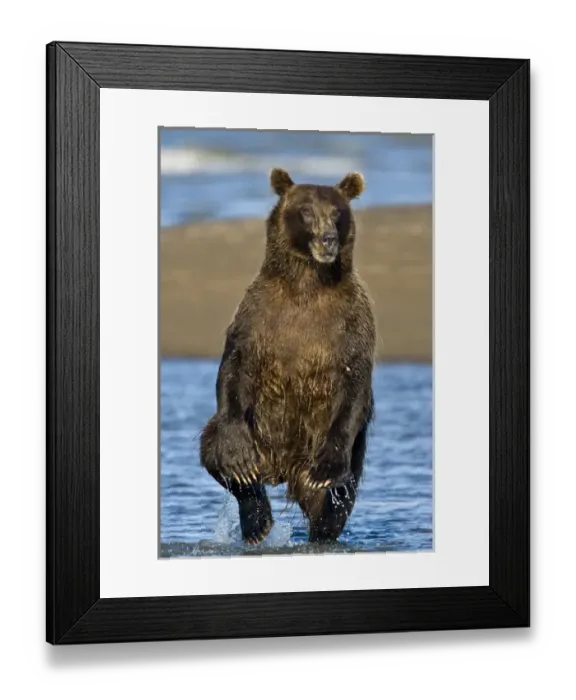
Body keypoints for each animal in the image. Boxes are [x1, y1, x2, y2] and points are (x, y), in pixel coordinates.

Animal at [199, 167, 376, 545]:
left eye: (337, 212)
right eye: (306, 211)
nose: (327, 239)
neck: (307, 284)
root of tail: (281, 471)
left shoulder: (352, 323)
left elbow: (355, 380)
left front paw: (326, 470)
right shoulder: (258, 316)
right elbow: (235, 366)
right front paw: (236, 457)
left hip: (340, 454)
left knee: (333, 502)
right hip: (259, 434)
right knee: (216, 452)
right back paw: (256, 518)